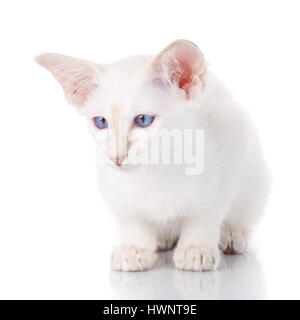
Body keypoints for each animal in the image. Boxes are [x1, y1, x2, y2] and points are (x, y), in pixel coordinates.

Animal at [35, 38, 272, 272]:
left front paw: (196, 248)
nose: (116, 157)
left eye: (143, 120)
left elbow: (205, 213)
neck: (158, 167)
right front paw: (135, 248)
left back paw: (232, 233)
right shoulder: (113, 188)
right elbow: (131, 218)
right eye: (100, 122)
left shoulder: (226, 151)